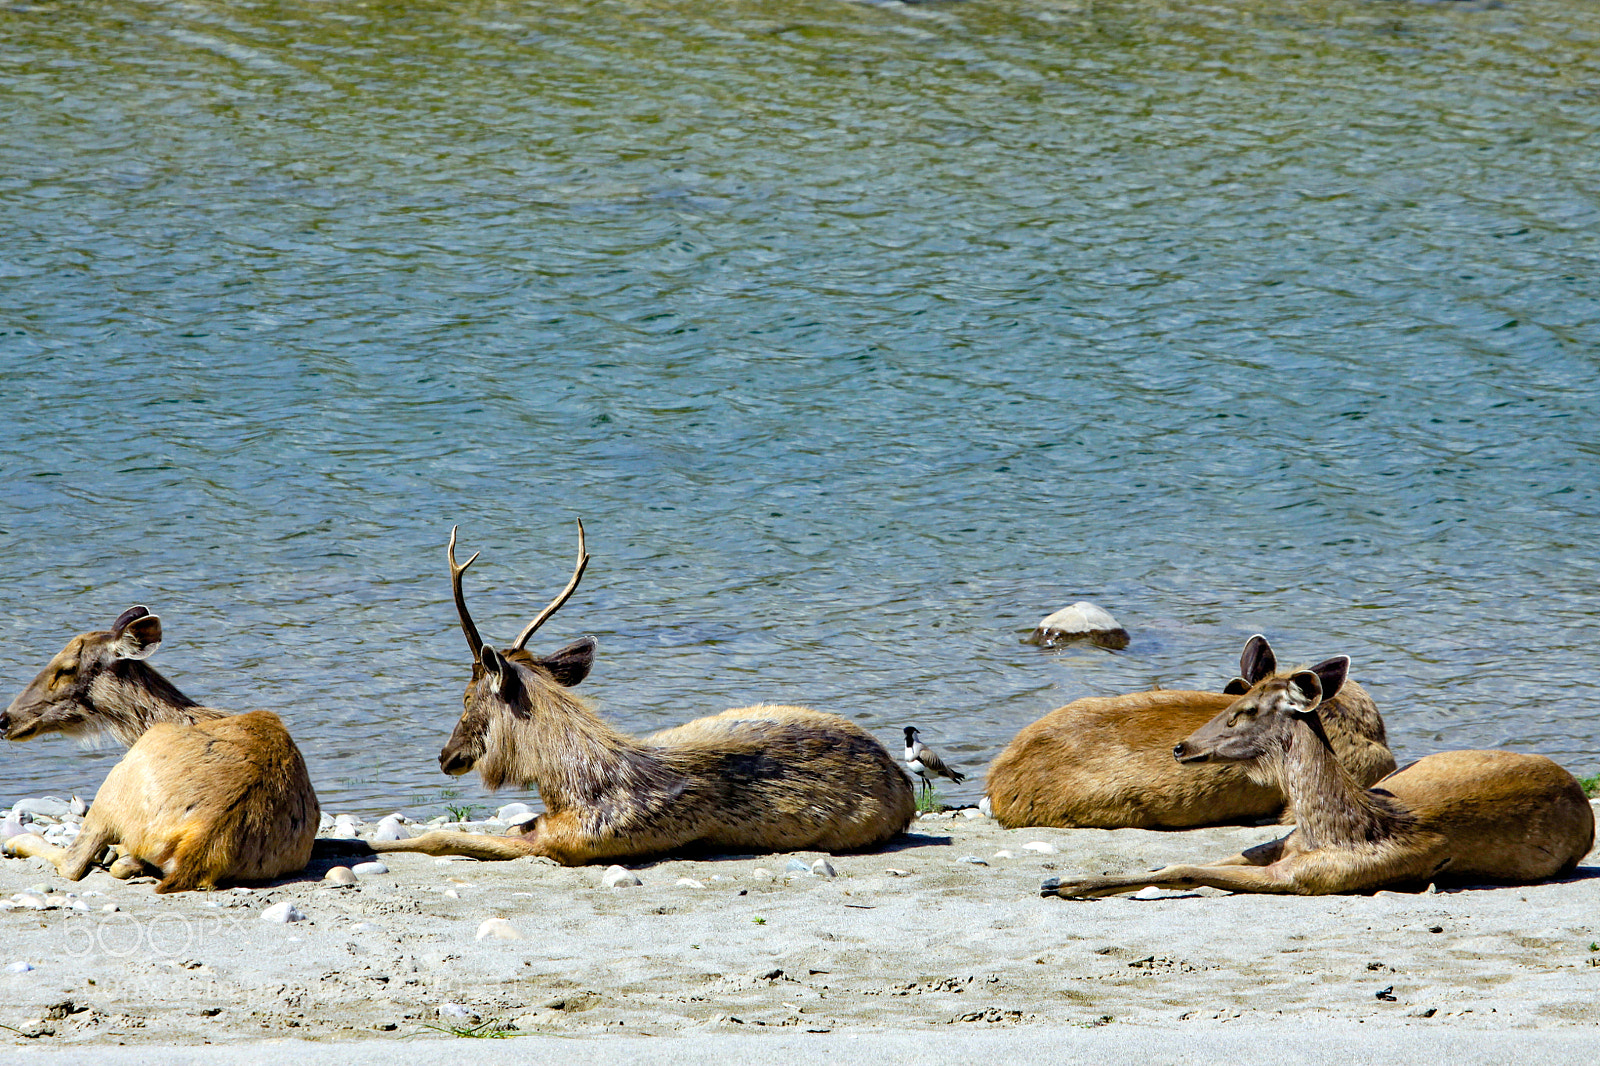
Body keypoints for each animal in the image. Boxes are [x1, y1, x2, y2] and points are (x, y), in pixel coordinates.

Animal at [0, 606, 318, 893]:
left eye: (66, 668)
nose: (4, 720)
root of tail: (203, 843)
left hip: (118, 781)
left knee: (73, 861)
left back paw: (18, 843)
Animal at [358, 524, 918, 866]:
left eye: (467, 696)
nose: (445, 755)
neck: (565, 782)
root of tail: (907, 784)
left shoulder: (572, 842)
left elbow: (446, 837)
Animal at [1041, 654, 1594, 898]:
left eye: (1245, 710)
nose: (1181, 746)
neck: (1335, 829)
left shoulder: (1312, 877)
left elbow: (1186, 869)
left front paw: (1065, 883)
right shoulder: (1282, 844)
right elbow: (1182, 861)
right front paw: (1066, 878)